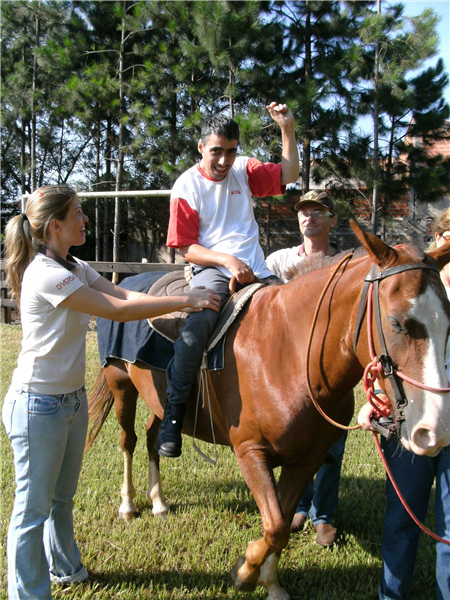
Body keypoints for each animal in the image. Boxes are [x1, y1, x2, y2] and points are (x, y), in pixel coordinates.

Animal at [88, 223, 450, 596]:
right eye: (396, 323)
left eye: (448, 324)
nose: (433, 431)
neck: (290, 352)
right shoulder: (251, 452)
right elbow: (274, 525)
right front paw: (244, 573)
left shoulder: (306, 459)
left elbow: (283, 523)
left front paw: (271, 583)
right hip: (121, 384)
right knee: (128, 441)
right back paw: (129, 506)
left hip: (159, 399)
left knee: (152, 438)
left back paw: (159, 502)